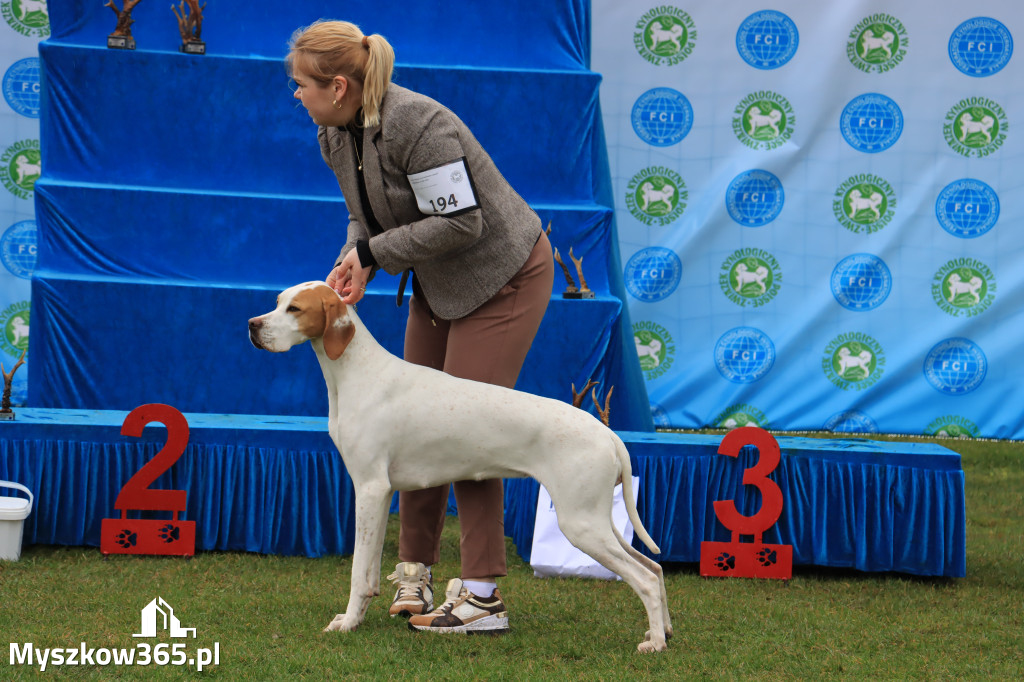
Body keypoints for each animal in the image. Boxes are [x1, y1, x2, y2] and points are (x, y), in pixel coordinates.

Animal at [249, 282, 671, 655]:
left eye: (295, 309)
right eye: (278, 301)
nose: (252, 324)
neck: (357, 372)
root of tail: (608, 434)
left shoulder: (368, 488)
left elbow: (356, 571)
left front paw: (349, 623)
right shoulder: (381, 495)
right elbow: (369, 572)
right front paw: (358, 615)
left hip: (580, 523)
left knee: (645, 580)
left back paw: (654, 644)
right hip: (598, 520)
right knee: (654, 567)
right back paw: (663, 630)